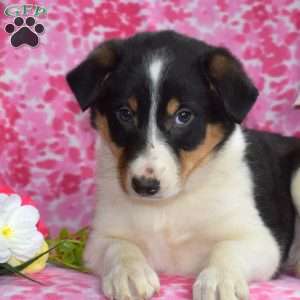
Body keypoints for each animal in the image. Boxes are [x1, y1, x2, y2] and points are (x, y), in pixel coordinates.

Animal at [67, 31, 300, 300]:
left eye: (183, 116)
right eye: (124, 113)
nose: (144, 186)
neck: (169, 205)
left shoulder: (260, 239)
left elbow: (227, 248)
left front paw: (219, 280)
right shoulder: (100, 237)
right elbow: (119, 247)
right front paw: (129, 274)